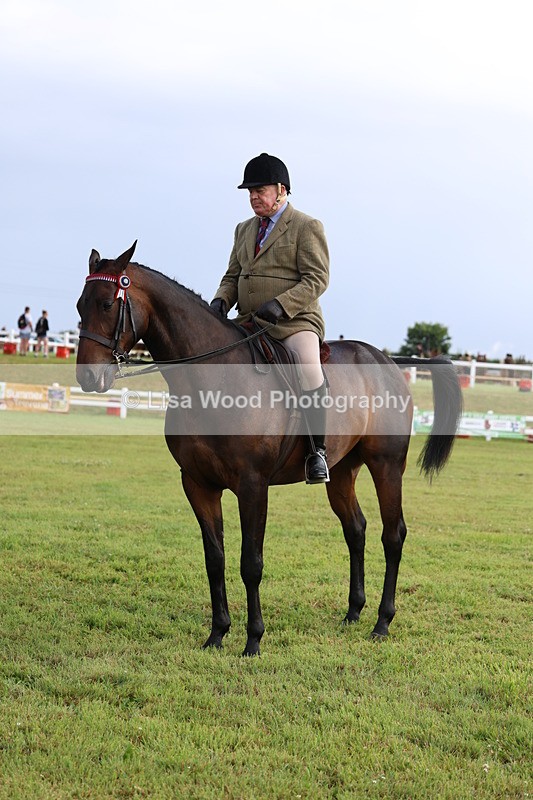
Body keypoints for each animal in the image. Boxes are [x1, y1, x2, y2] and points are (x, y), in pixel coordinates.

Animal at [76, 242, 462, 656]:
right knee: (355, 529)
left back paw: (382, 622)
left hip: (387, 466)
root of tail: (387, 360)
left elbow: (251, 563)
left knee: (393, 535)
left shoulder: (253, 486)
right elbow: (215, 559)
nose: (88, 377)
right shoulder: (197, 484)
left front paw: (253, 640)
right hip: (342, 471)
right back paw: (353, 612)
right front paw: (217, 634)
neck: (214, 378)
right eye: (80, 305)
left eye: (107, 304)